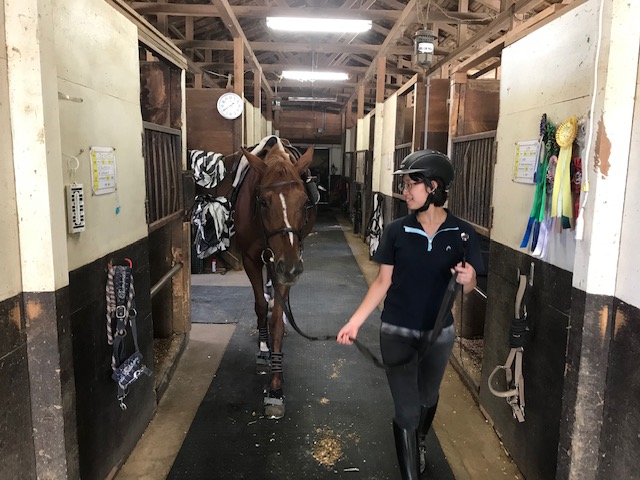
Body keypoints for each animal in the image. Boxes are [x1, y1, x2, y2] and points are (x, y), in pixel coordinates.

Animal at [233, 136, 316, 419]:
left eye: (305, 202)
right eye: (263, 202)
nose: (291, 268)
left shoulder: (285, 264)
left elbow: (277, 323)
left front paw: (276, 387)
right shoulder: (251, 259)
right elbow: (259, 306)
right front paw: (263, 349)